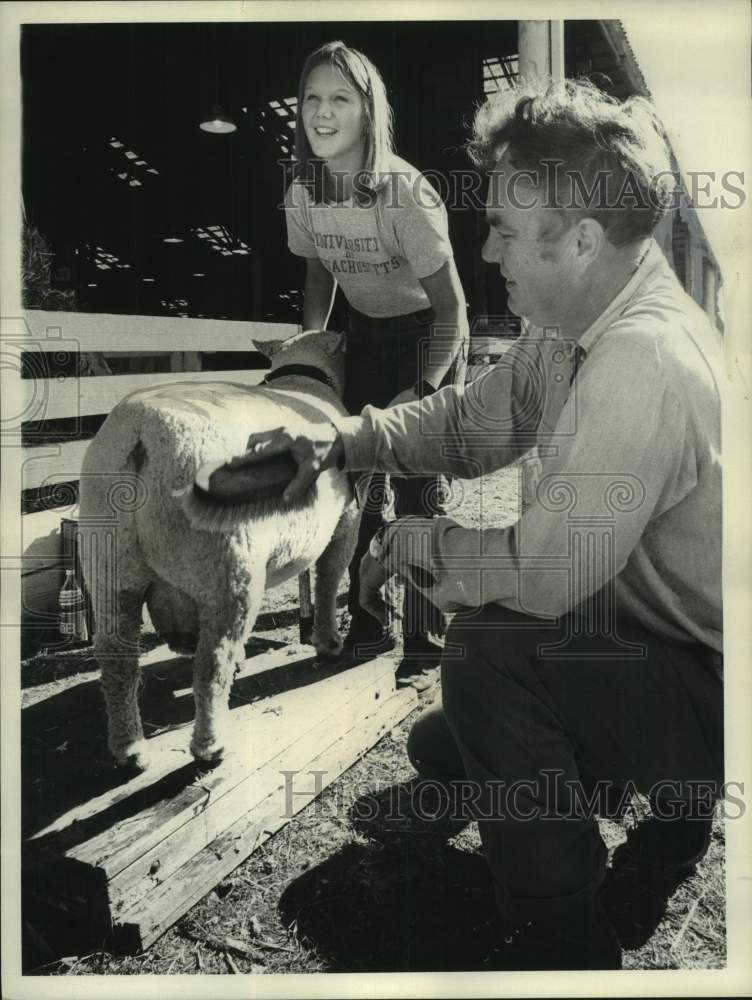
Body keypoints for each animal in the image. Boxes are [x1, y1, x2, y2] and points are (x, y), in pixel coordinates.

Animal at [78, 332, 360, 768]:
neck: (303, 383)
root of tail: (142, 434)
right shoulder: (344, 519)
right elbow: (328, 579)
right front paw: (328, 641)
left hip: (110, 562)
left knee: (117, 658)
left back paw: (129, 747)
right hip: (230, 566)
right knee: (211, 664)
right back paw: (210, 746)